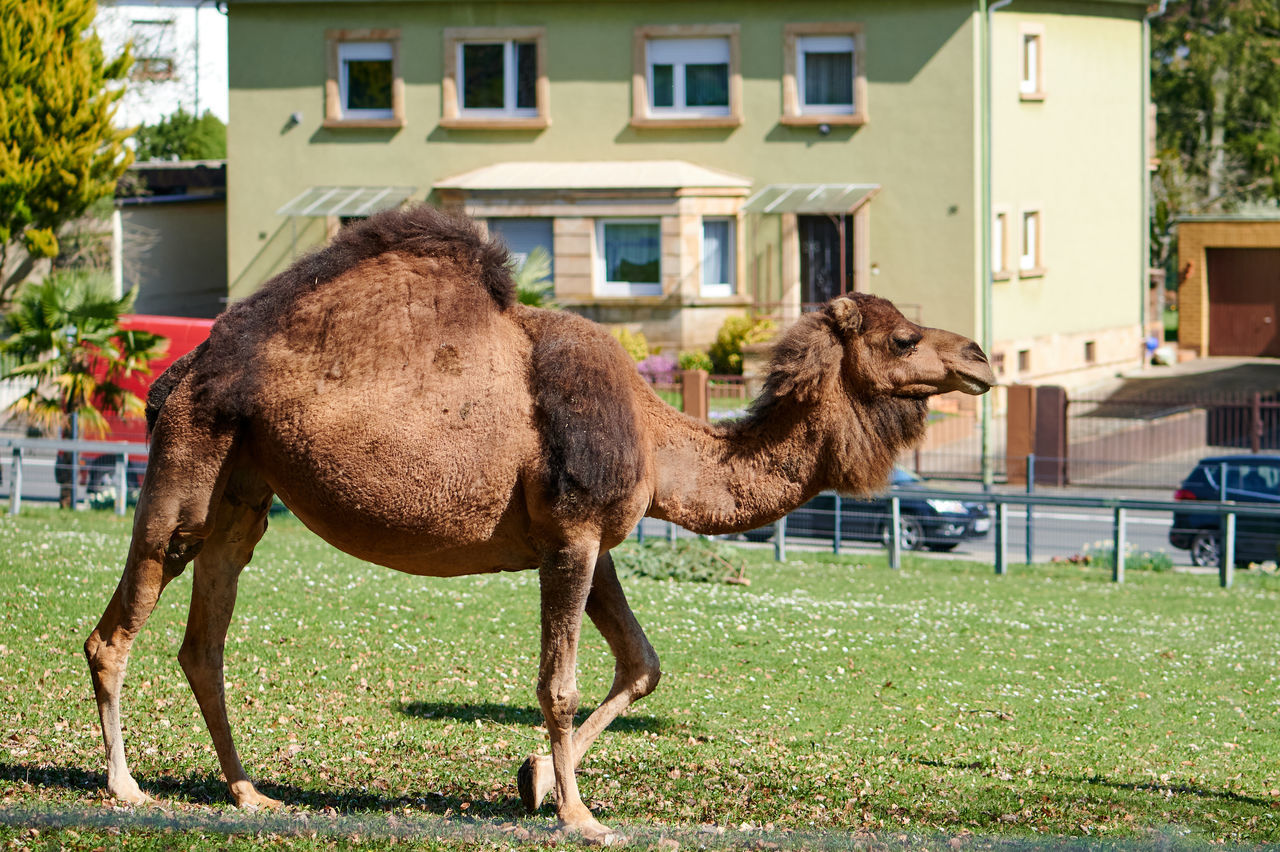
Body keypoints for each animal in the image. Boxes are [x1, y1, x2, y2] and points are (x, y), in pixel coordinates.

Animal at [82, 202, 998, 839]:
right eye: (904, 337)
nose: (981, 357)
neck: (657, 438)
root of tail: (179, 372)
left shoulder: (600, 542)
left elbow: (642, 665)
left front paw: (533, 781)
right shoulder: (572, 534)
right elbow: (558, 683)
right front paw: (579, 816)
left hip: (244, 488)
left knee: (205, 639)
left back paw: (250, 791)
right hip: (190, 459)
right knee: (116, 627)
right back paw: (125, 786)